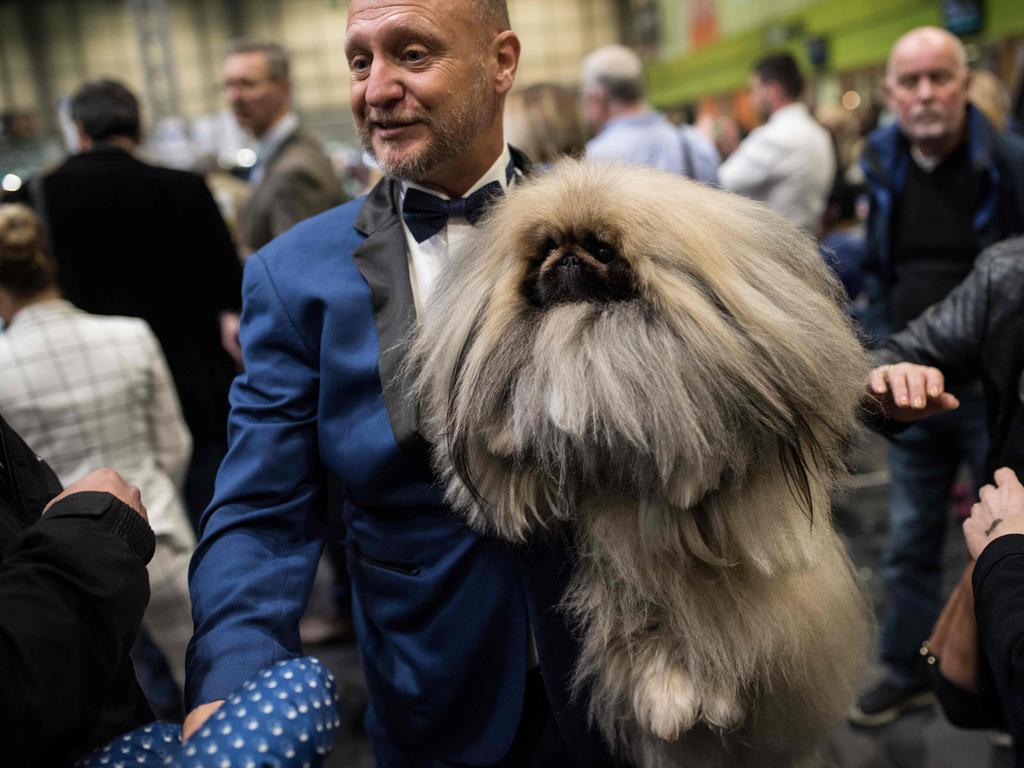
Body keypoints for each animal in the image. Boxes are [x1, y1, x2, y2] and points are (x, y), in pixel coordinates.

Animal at [407, 162, 872, 768]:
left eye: (602, 248)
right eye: (546, 250)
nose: (568, 258)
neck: (586, 332)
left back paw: (714, 701)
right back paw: (670, 704)